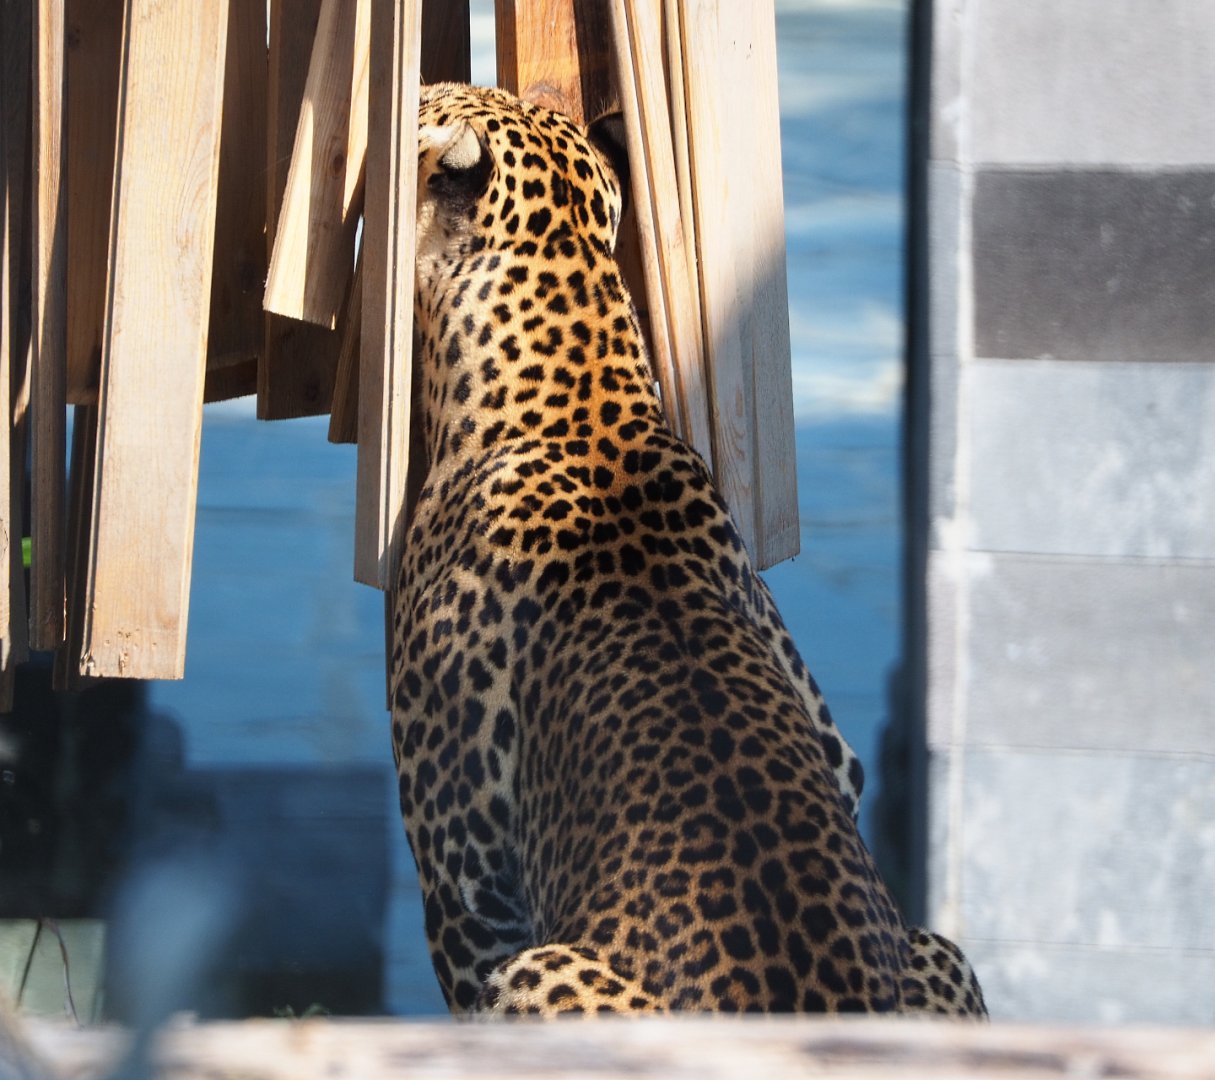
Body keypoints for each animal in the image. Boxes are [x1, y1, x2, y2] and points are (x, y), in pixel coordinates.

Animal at [389, 81, 987, 1018]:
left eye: (430, 100)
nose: (416, 91)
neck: (583, 396)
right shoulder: (837, 753)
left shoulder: (467, 881)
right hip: (941, 952)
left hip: (534, 970)